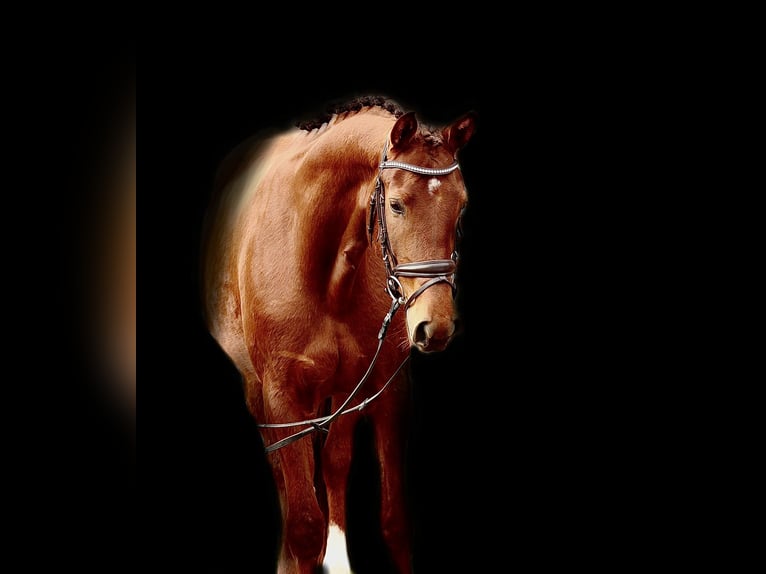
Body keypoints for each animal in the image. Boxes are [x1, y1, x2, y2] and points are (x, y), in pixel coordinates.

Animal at [202, 96, 477, 573]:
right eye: (397, 206)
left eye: (460, 207)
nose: (436, 325)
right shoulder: (281, 392)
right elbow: (303, 523)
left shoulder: (356, 381)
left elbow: (341, 469)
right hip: (260, 389)